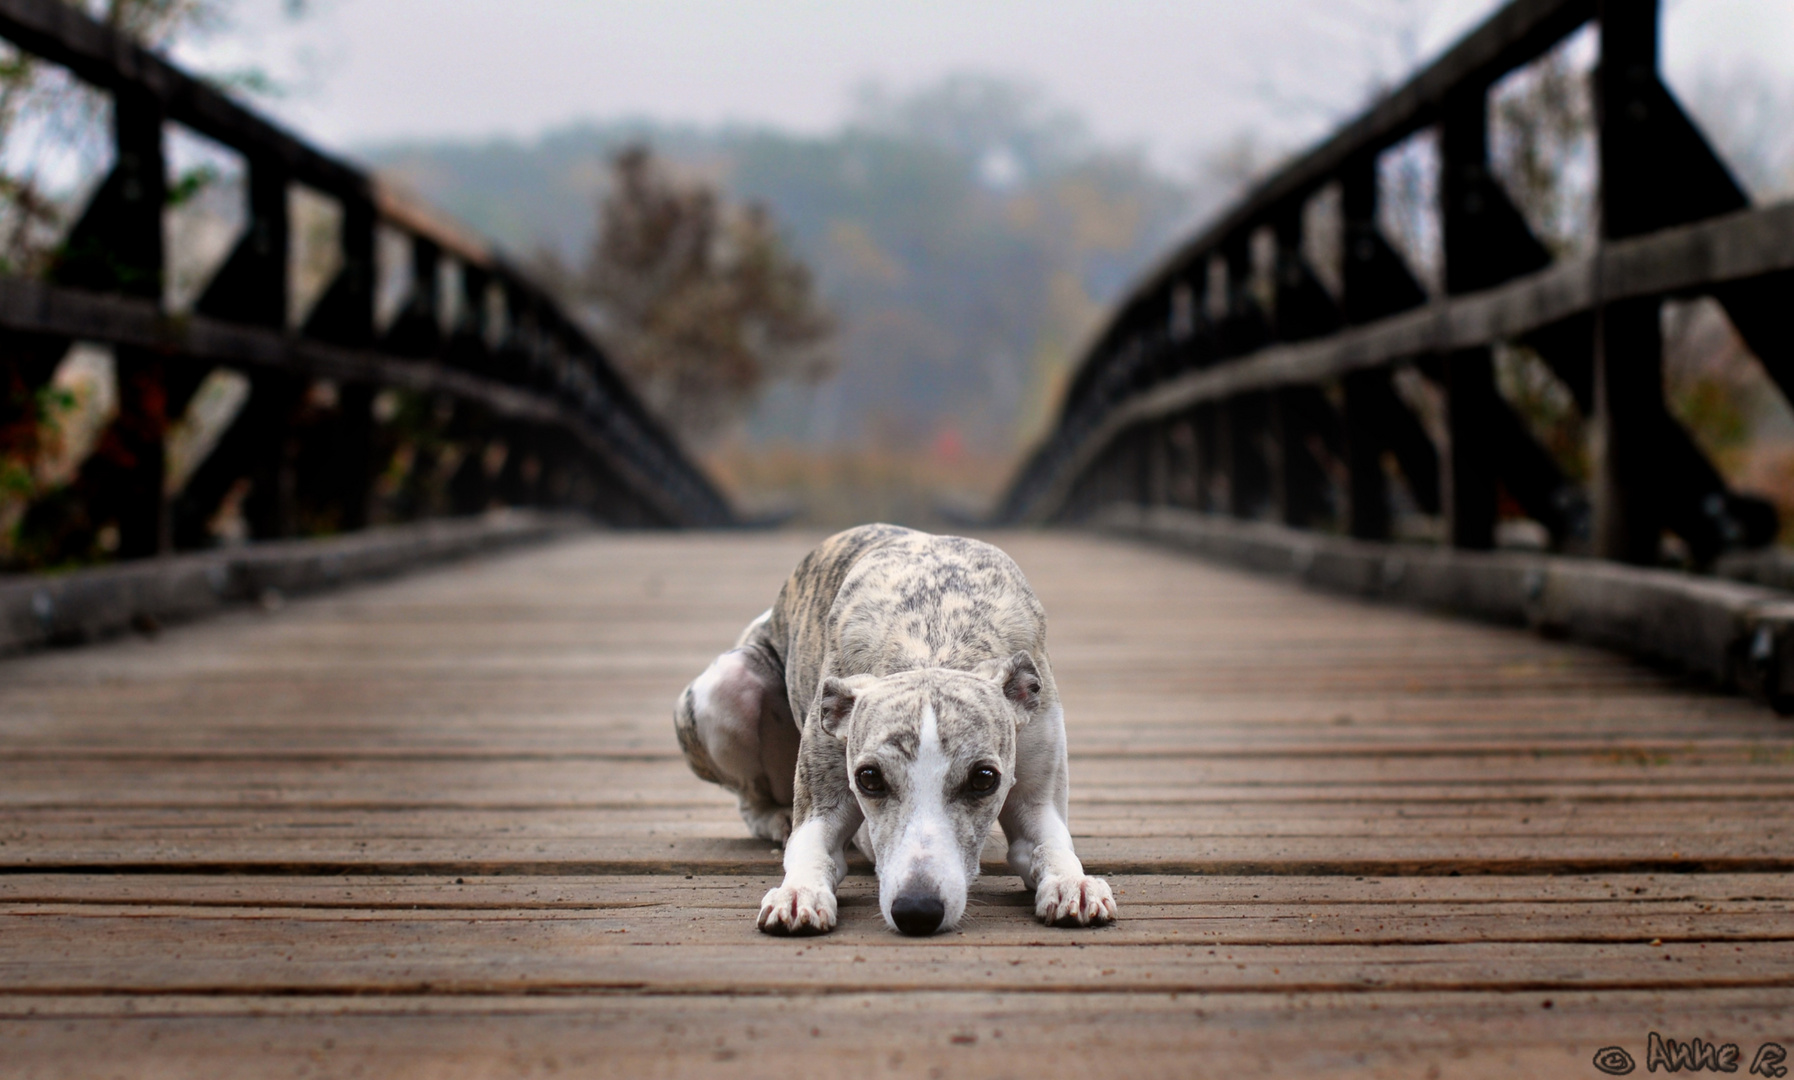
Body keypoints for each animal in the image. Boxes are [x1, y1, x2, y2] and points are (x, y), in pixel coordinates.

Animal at [674, 523, 1112, 932]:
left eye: (985, 778)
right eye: (868, 778)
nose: (917, 911)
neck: (934, 631)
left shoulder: (1037, 797)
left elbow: (1049, 845)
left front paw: (1074, 883)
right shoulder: (822, 801)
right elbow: (811, 848)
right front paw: (798, 892)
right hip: (729, 682)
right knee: (750, 798)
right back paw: (775, 817)